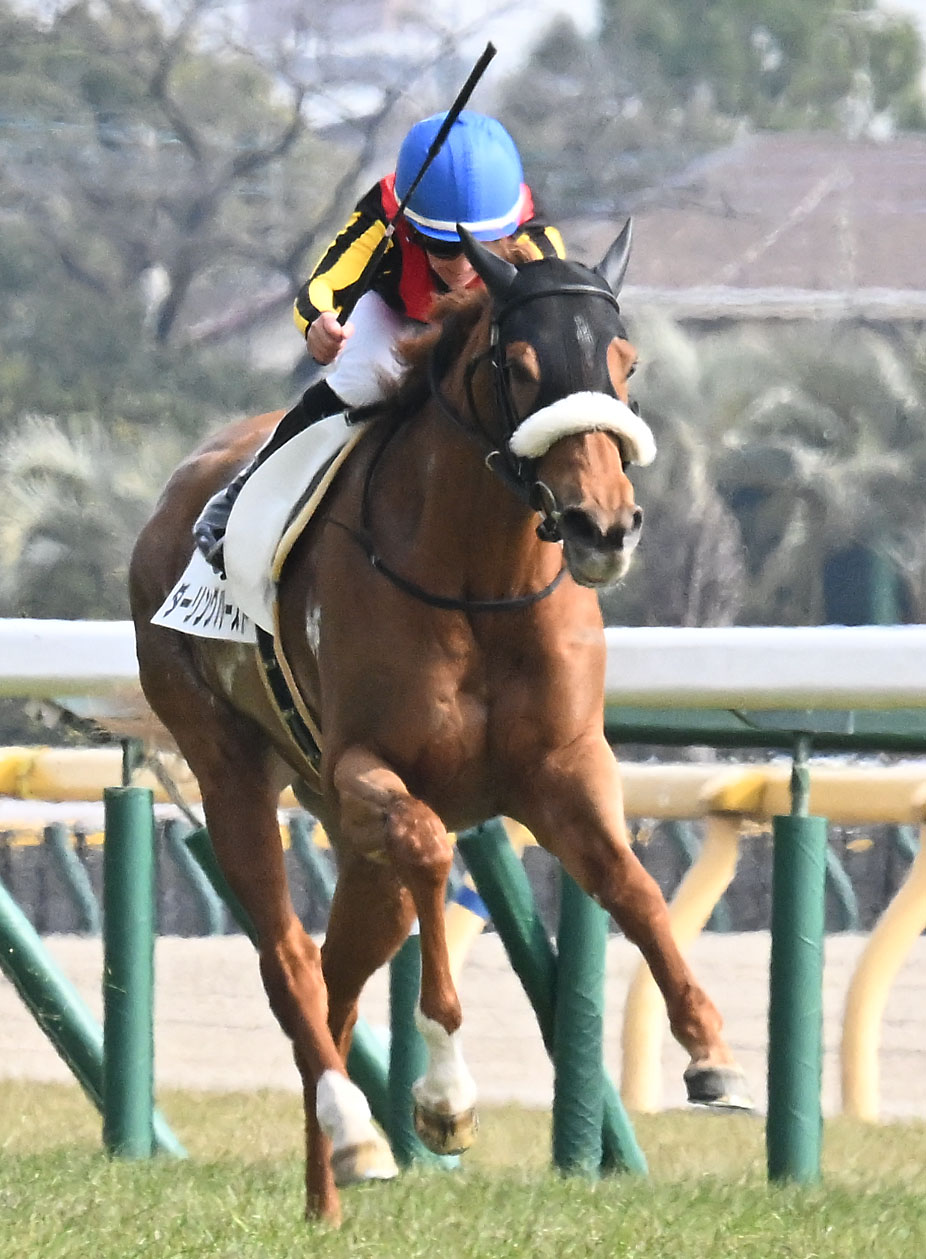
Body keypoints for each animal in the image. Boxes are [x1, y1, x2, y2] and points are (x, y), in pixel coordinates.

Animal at [130, 224, 751, 1224]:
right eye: (524, 367)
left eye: (625, 361)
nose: (604, 525)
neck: (478, 581)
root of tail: (171, 496)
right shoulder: (365, 765)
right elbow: (429, 848)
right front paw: (446, 1097)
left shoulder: (564, 769)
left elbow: (635, 886)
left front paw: (713, 1055)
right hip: (231, 771)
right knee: (290, 963)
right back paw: (354, 1128)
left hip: (349, 840)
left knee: (339, 984)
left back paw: (333, 1185)